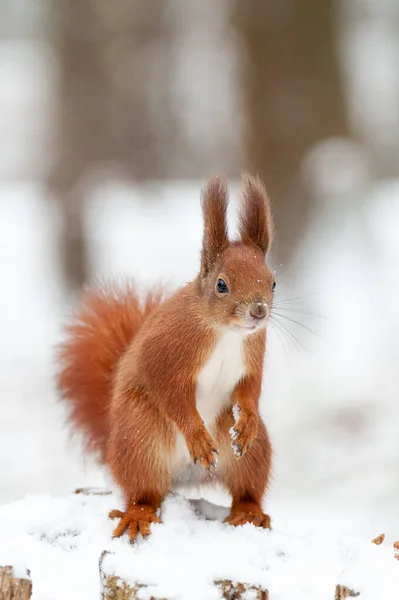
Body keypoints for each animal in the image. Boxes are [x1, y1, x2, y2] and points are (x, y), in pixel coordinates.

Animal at [56, 175, 276, 544]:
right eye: (221, 285)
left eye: (273, 282)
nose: (258, 311)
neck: (225, 333)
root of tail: (183, 478)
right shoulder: (167, 353)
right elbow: (171, 394)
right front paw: (197, 437)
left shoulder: (253, 354)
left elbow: (251, 389)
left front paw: (246, 422)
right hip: (141, 437)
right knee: (144, 492)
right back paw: (138, 515)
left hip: (252, 454)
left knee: (246, 488)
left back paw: (249, 511)